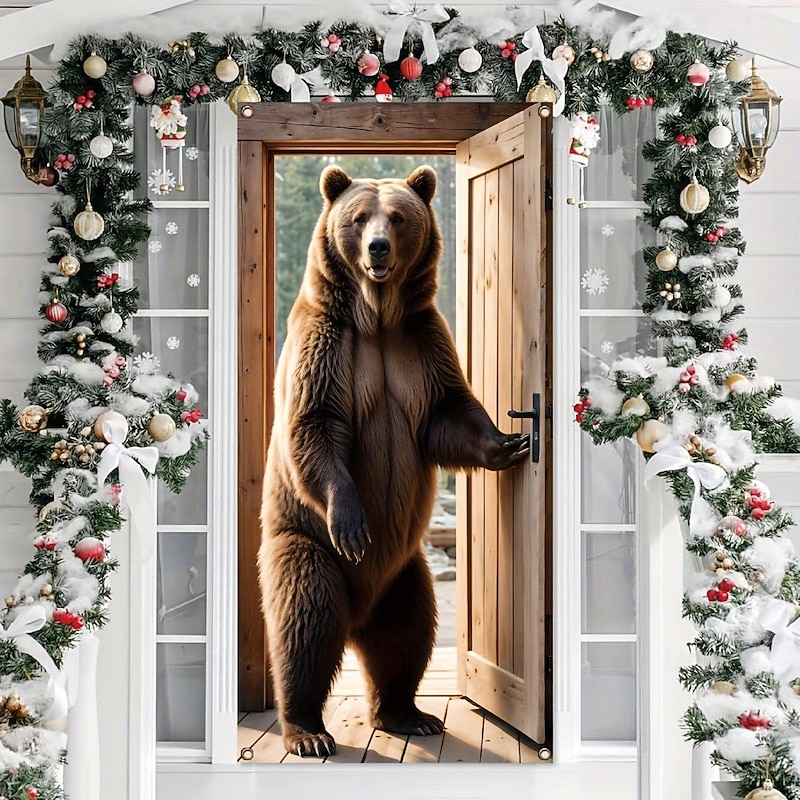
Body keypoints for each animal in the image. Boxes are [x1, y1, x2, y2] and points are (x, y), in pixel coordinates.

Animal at [258, 164, 529, 758]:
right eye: (359, 218)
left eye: (399, 217)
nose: (377, 247)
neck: (375, 316)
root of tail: (359, 614)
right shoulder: (326, 345)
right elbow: (315, 426)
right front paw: (352, 521)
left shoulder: (422, 341)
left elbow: (446, 413)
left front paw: (508, 443)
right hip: (305, 543)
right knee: (306, 621)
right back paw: (307, 730)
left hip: (405, 569)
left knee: (407, 633)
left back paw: (408, 712)